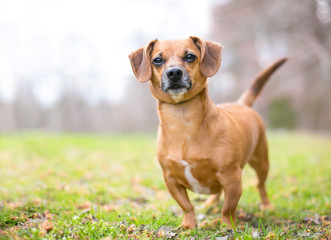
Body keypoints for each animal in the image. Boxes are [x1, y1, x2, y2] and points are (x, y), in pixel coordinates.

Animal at [128, 36, 286, 230]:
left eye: (190, 56)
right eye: (157, 60)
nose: (174, 73)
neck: (183, 120)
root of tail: (241, 104)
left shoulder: (232, 178)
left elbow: (228, 208)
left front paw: (228, 227)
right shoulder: (170, 180)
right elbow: (186, 206)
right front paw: (188, 225)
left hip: (261, 162)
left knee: (260, 185)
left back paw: (266, 205)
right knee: (218, 191)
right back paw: (210, 203)